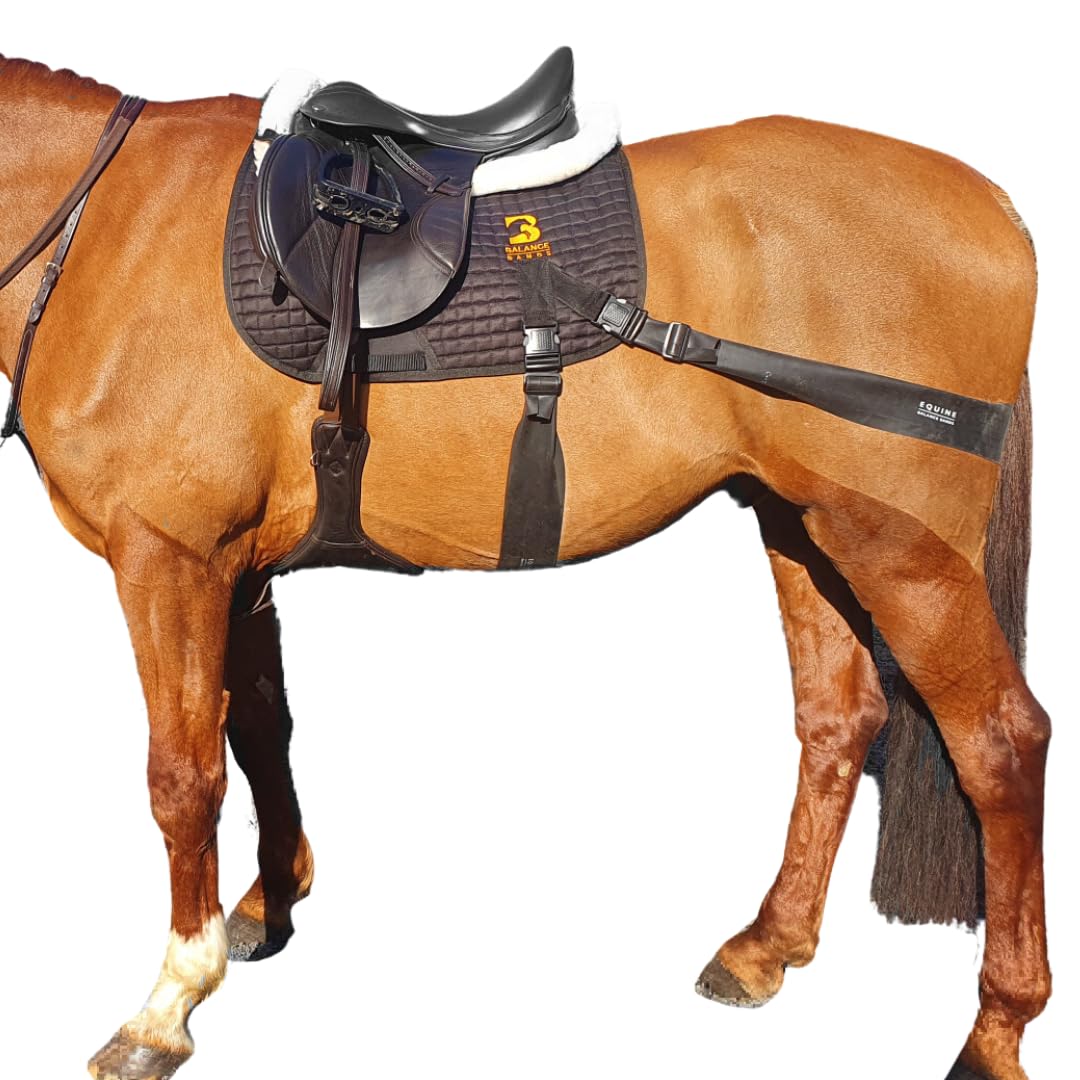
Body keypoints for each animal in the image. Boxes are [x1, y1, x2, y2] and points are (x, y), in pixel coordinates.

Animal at [0, 55, 1047, 1080]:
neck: (109, 225)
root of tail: (997, 206)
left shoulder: (169, 558)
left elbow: (183, 777)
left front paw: (169, 1001)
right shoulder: (238, 569)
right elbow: (260, 729)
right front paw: (274, 899)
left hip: (904, 552)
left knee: (1001, 746)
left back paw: (997, 1030)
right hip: (806, 524)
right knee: (840, 721)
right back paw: (765, 947)